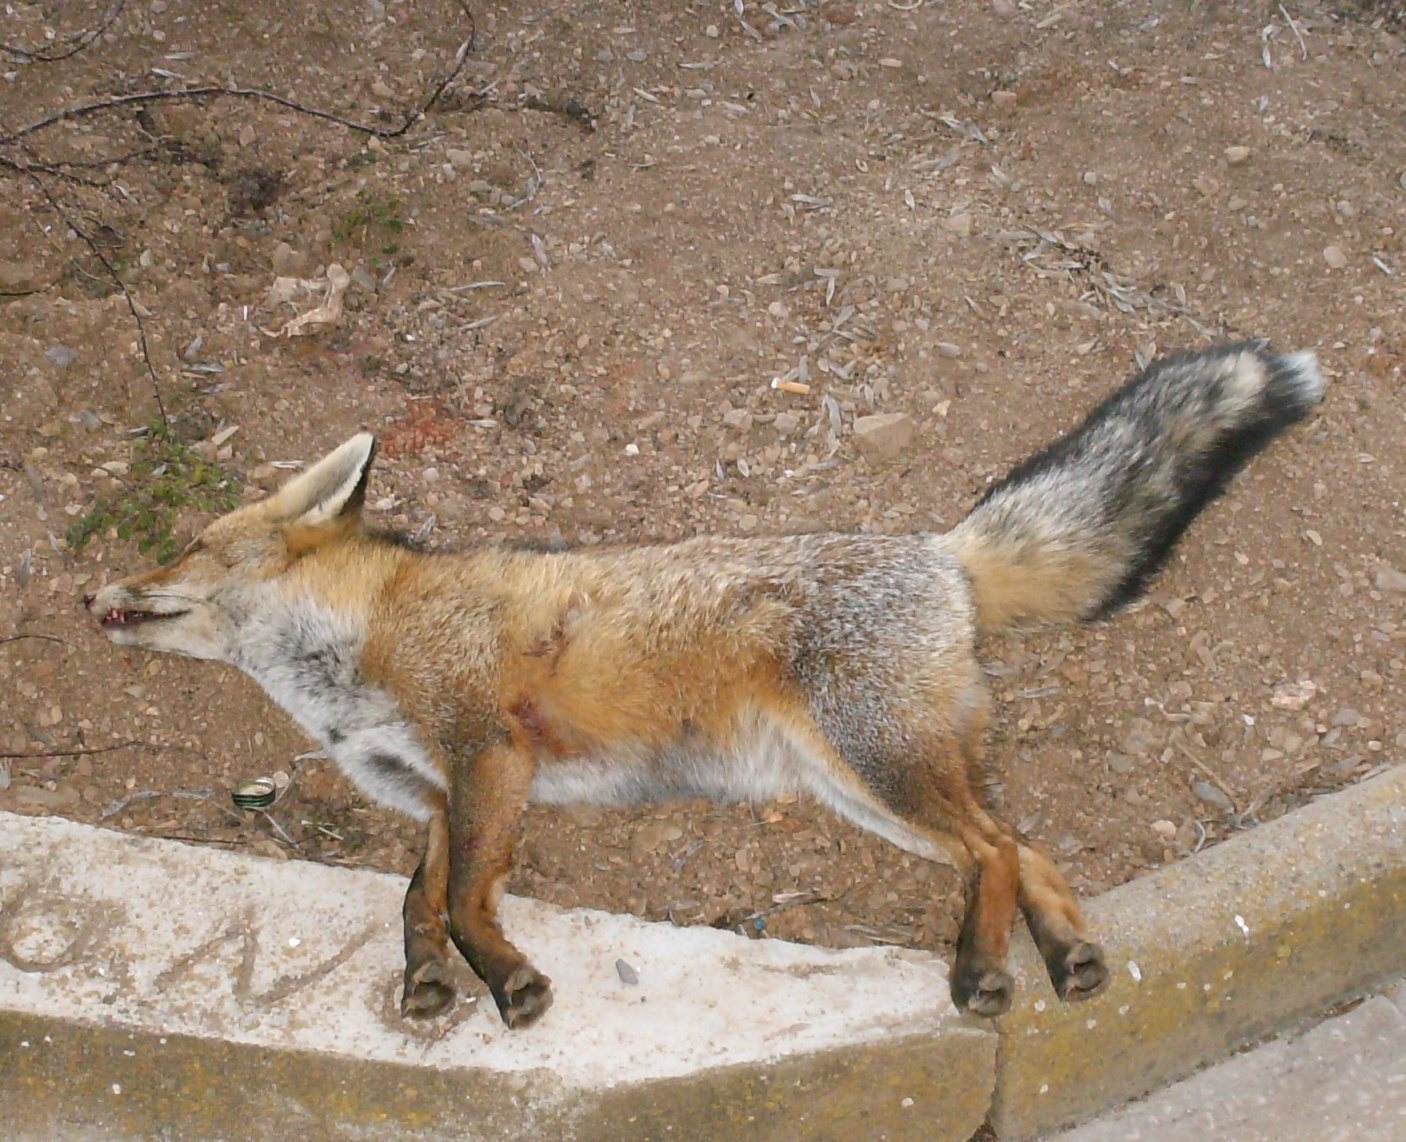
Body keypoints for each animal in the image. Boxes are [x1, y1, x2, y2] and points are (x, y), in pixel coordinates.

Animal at [86, 341, 1324, 1028]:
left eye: (188, 547)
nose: (97, 589)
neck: (367, 642)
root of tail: (938, 549)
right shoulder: (436, 793)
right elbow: (415, 900)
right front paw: (430, 985)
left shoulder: (488, 752)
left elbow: (463, 900)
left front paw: (508, 984)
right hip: (863, 786)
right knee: (1022, 846)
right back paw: (1064, 954)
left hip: (873, 763)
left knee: (992, 847)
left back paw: (980, 969)